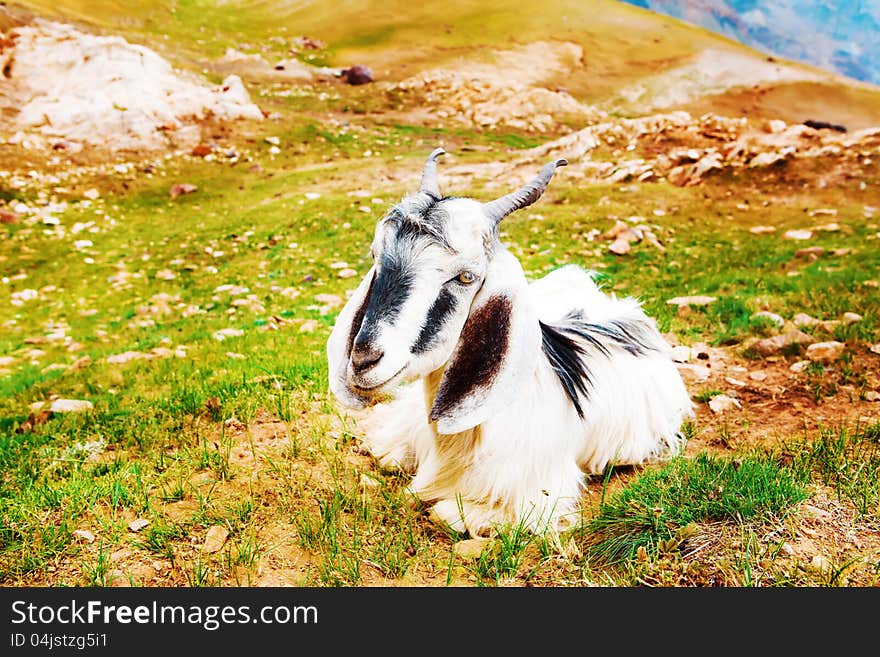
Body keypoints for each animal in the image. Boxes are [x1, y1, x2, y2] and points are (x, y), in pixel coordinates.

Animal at [326, 150, 692, 540]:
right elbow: (390, 455)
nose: (363, 360)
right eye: (375, 254)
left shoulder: (536, 499)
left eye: (466, 276)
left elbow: (444, 513)